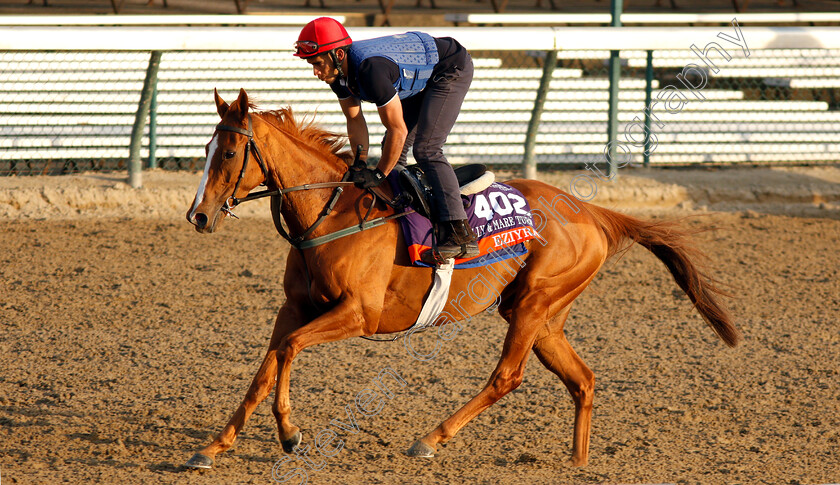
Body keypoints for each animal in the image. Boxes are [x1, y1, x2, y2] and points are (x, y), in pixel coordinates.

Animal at [185, 88, 740, 468]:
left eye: (229, 154)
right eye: (207, 148)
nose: (199, 216)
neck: (332, 213)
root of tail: (591, 209)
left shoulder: (358, 314)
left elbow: (289, 349)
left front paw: (289, 433)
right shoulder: (294, 306)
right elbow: (267, 366)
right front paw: (214, 446)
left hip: (533, 304)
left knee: (507, 377)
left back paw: (430, 439)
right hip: (544, 315)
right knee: (582, 379)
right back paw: (578, 463)